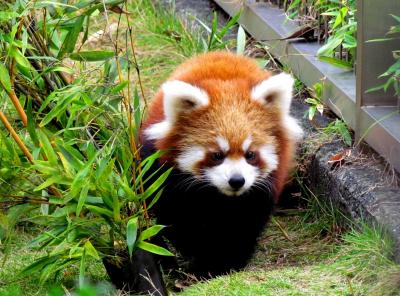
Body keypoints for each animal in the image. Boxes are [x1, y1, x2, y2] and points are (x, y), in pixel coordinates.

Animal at [139, 51, 302, 292]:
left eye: (250, 154)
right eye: (217, 155)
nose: (237, 180)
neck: (219, 198)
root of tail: (220, 53)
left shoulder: (260, 191)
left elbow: (243, 228)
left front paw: (222, 265)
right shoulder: (168, 179)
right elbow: (178, 221)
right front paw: (194, 257)